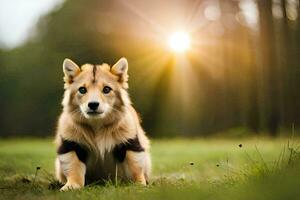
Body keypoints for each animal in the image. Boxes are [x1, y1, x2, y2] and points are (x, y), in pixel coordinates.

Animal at [54, 57, 150, 191]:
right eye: (82, 90)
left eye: (106, 89)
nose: (93, 104)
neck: (97, 125)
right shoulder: (71, 145)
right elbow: (73, 167)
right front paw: (71, 186)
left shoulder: (131, 143)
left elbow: (135, 166)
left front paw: (139, 185)